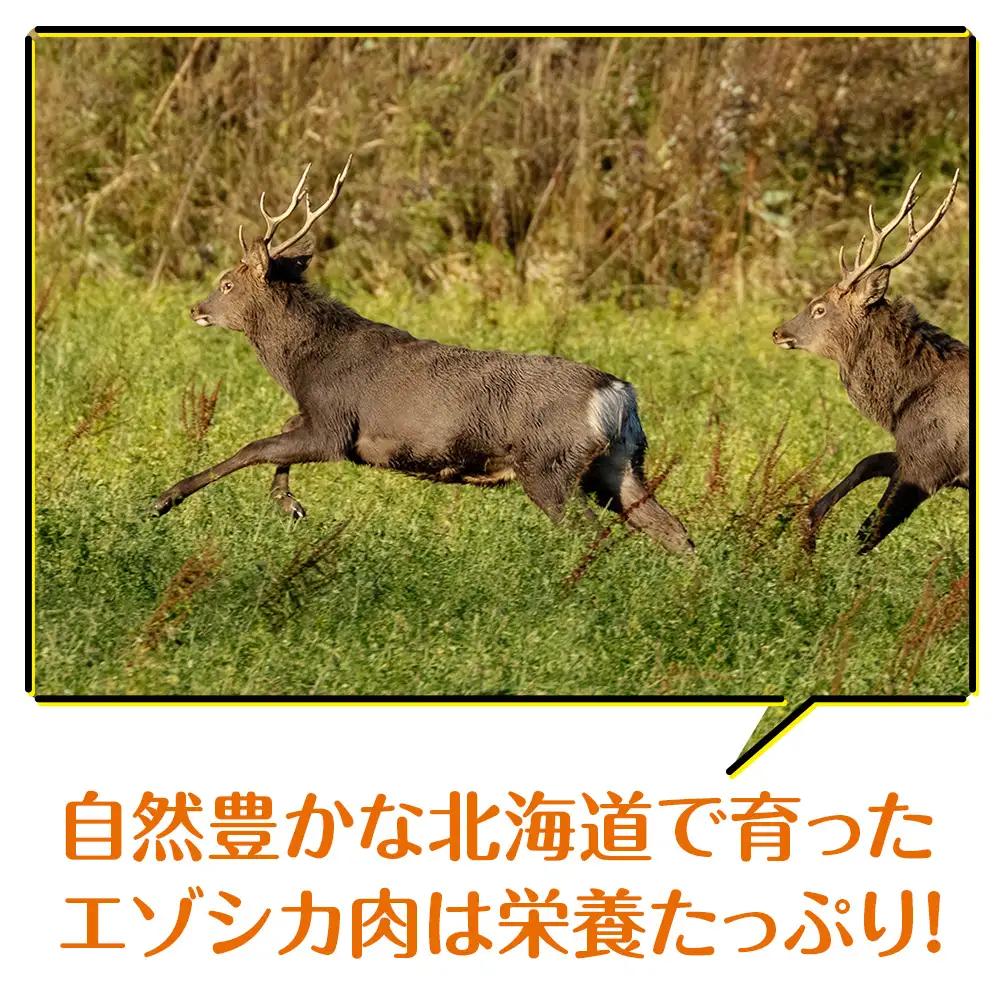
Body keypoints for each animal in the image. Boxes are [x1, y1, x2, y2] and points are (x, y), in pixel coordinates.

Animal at [152, 159, 695, 556]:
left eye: (227, 282)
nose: (196, 308)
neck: (304, 364)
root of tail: (618, 393)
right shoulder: (319, 419)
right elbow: (277, 435)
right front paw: (289, 504)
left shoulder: (335, 425)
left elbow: (255, 447)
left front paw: (164, 499)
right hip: (619, 463)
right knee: (674, 531)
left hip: (549, 465)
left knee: (595, 534)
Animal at [772, 170, 968, 554]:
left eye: (819, 308)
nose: (778, 332)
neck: (899, 405)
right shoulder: (915, 453)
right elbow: (868, 461)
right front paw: (809, 524)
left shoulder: (931, 462)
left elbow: (868, 532)